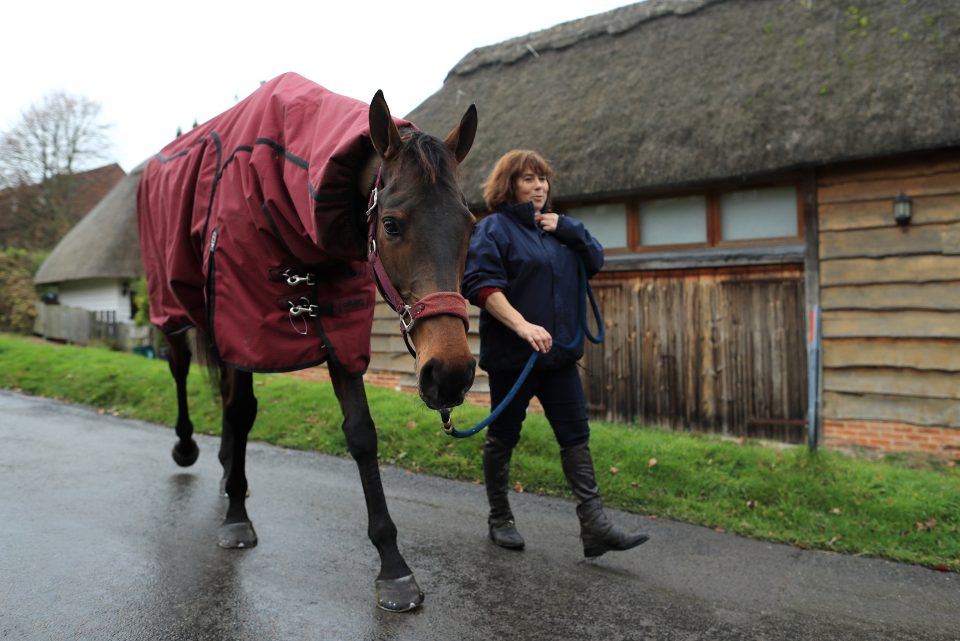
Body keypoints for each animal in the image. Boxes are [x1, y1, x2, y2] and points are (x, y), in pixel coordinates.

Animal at [135, 72, 480, 612]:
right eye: (390, 224)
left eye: (470, 224)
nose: (449, 373)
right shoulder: (242, 323)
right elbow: (241, 410)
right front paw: (237, 518)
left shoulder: (340, 339)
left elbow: (361, 433)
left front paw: (393, 567)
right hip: (173, 308)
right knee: (181, 371)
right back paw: (189, 448)